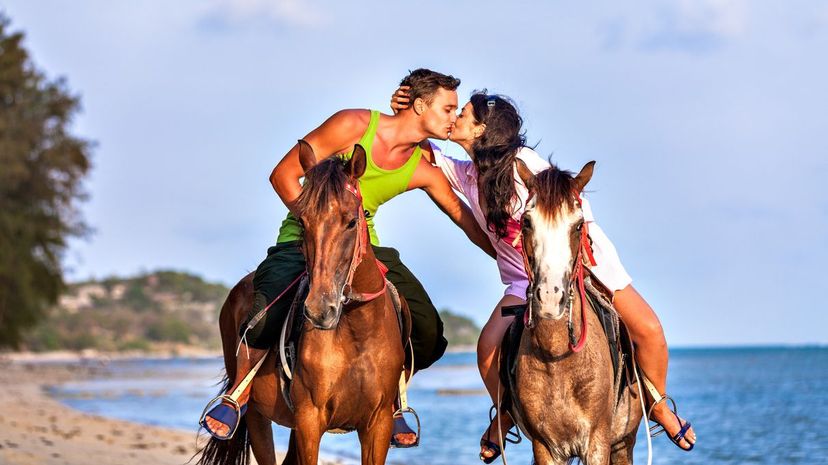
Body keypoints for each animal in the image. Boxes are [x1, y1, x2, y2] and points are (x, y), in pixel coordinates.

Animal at [198, 143, 410, 464]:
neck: (357, 333)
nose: (320, 310)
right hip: (257, 416)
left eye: (351, 221)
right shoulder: (310, 420)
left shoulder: (378, 423)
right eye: (302, 221)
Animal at [516, 161, 644, 462]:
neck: (556, 355)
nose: (550, 297)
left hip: (623, 444)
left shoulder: (598, 442)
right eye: (527, 222)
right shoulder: (544, 447)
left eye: (577, 226)